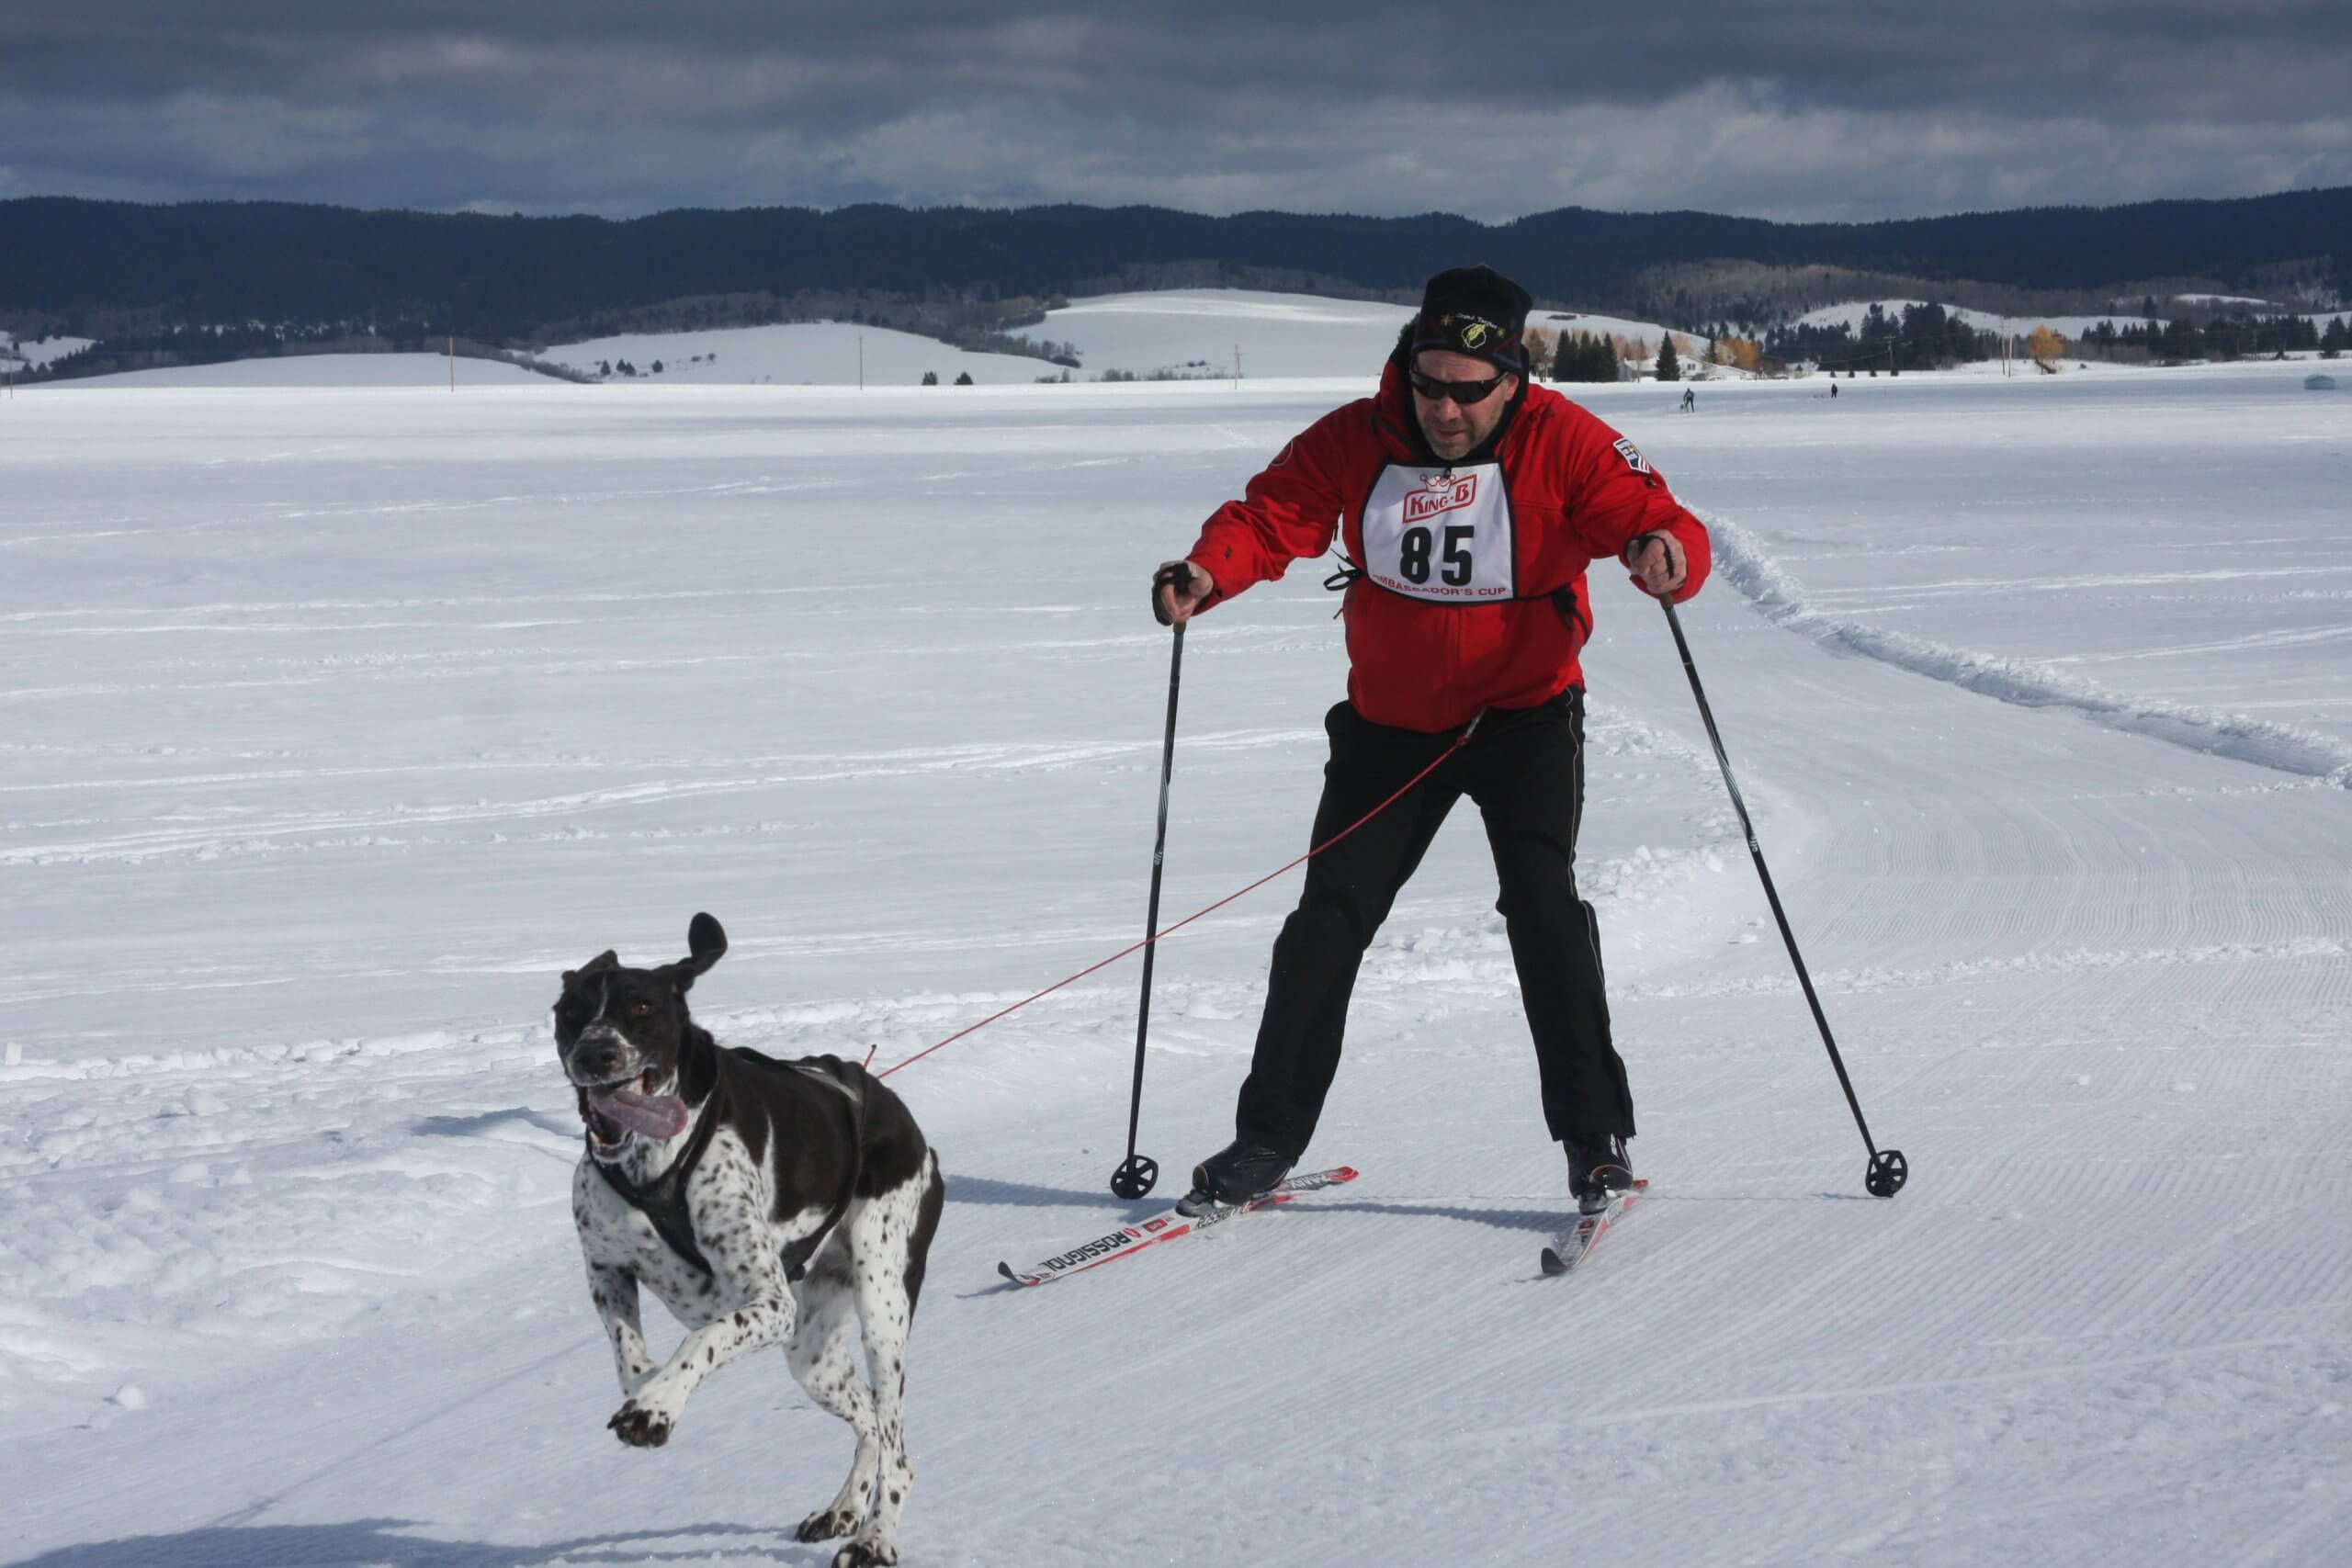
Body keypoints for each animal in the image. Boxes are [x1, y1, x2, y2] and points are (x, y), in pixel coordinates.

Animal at [550, 911, 945, 1561]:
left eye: (641, 1008)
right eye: (572, 1010)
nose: (596, 1054)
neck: (652, 1162)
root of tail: (897, 1113)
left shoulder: (767, 1303)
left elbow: (701, 1340)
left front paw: (655, 1408)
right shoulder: (607, 1270)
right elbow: (631, 1359)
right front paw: (650, 1391)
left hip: (882, 1308)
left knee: (897, 1446)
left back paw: (875, 1538)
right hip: (812, 1354)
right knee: (870, 1424)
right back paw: (843, 1508)